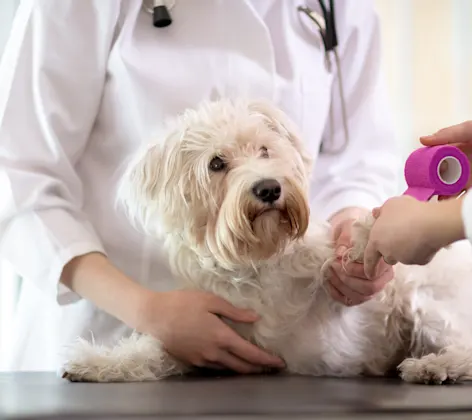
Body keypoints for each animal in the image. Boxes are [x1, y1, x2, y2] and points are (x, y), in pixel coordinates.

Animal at [61, 97, 472, 384]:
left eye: (264, 150)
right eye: (216, 163)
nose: (269, 188)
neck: (254, 261)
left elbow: (344, 263)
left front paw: (367, 232)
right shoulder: (209, 336)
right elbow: (150, 350)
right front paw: (97, 362)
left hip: (426, 302)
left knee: (462, 343)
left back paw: (436, 365)